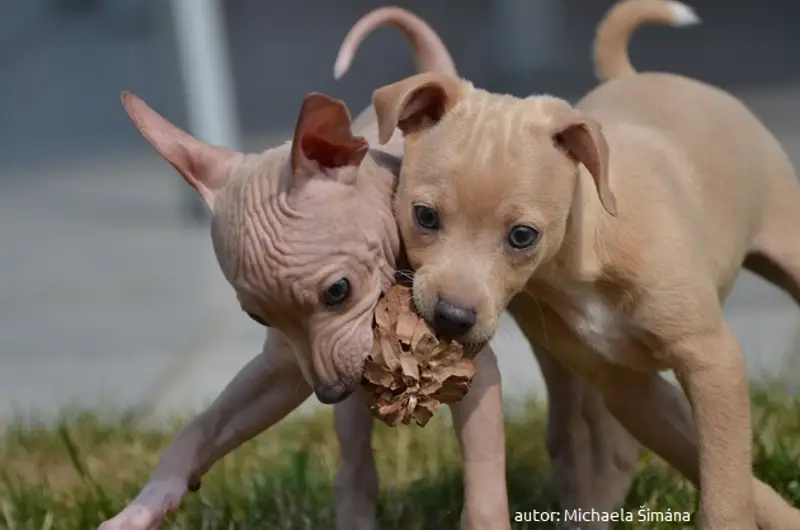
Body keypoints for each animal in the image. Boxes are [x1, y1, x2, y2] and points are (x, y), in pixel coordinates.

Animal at [97, 7, 640, 528]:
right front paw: (145, 505)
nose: (330, 392)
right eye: (257, 317)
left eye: (338, 291)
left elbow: (485, 483)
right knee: (355, 464)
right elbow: (201, 427)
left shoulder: (472, 370)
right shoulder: (286, 367)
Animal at [372, 1, 800, 528]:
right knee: (594, 445)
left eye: (522, 236)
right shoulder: (628, 388)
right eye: (425, 216)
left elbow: (725, 476)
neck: (582, 260)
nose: (451, 317)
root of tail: (637, 75)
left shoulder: (712, 360)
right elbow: (707, 461)